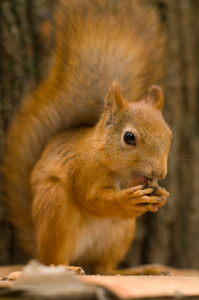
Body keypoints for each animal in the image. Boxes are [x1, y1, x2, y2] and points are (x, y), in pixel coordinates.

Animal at [1, 0, 172, 274]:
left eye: (169, 135)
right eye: (129, 138)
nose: (160, 173)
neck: (118, 169)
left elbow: (122, 212)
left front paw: (162, 197)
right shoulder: (84, 169)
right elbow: (93, 201)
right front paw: (126, 197)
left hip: (119, 235)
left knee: (105, 267)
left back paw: (139, 270)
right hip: (55, 210)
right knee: (55, 258)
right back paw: (67, 268)